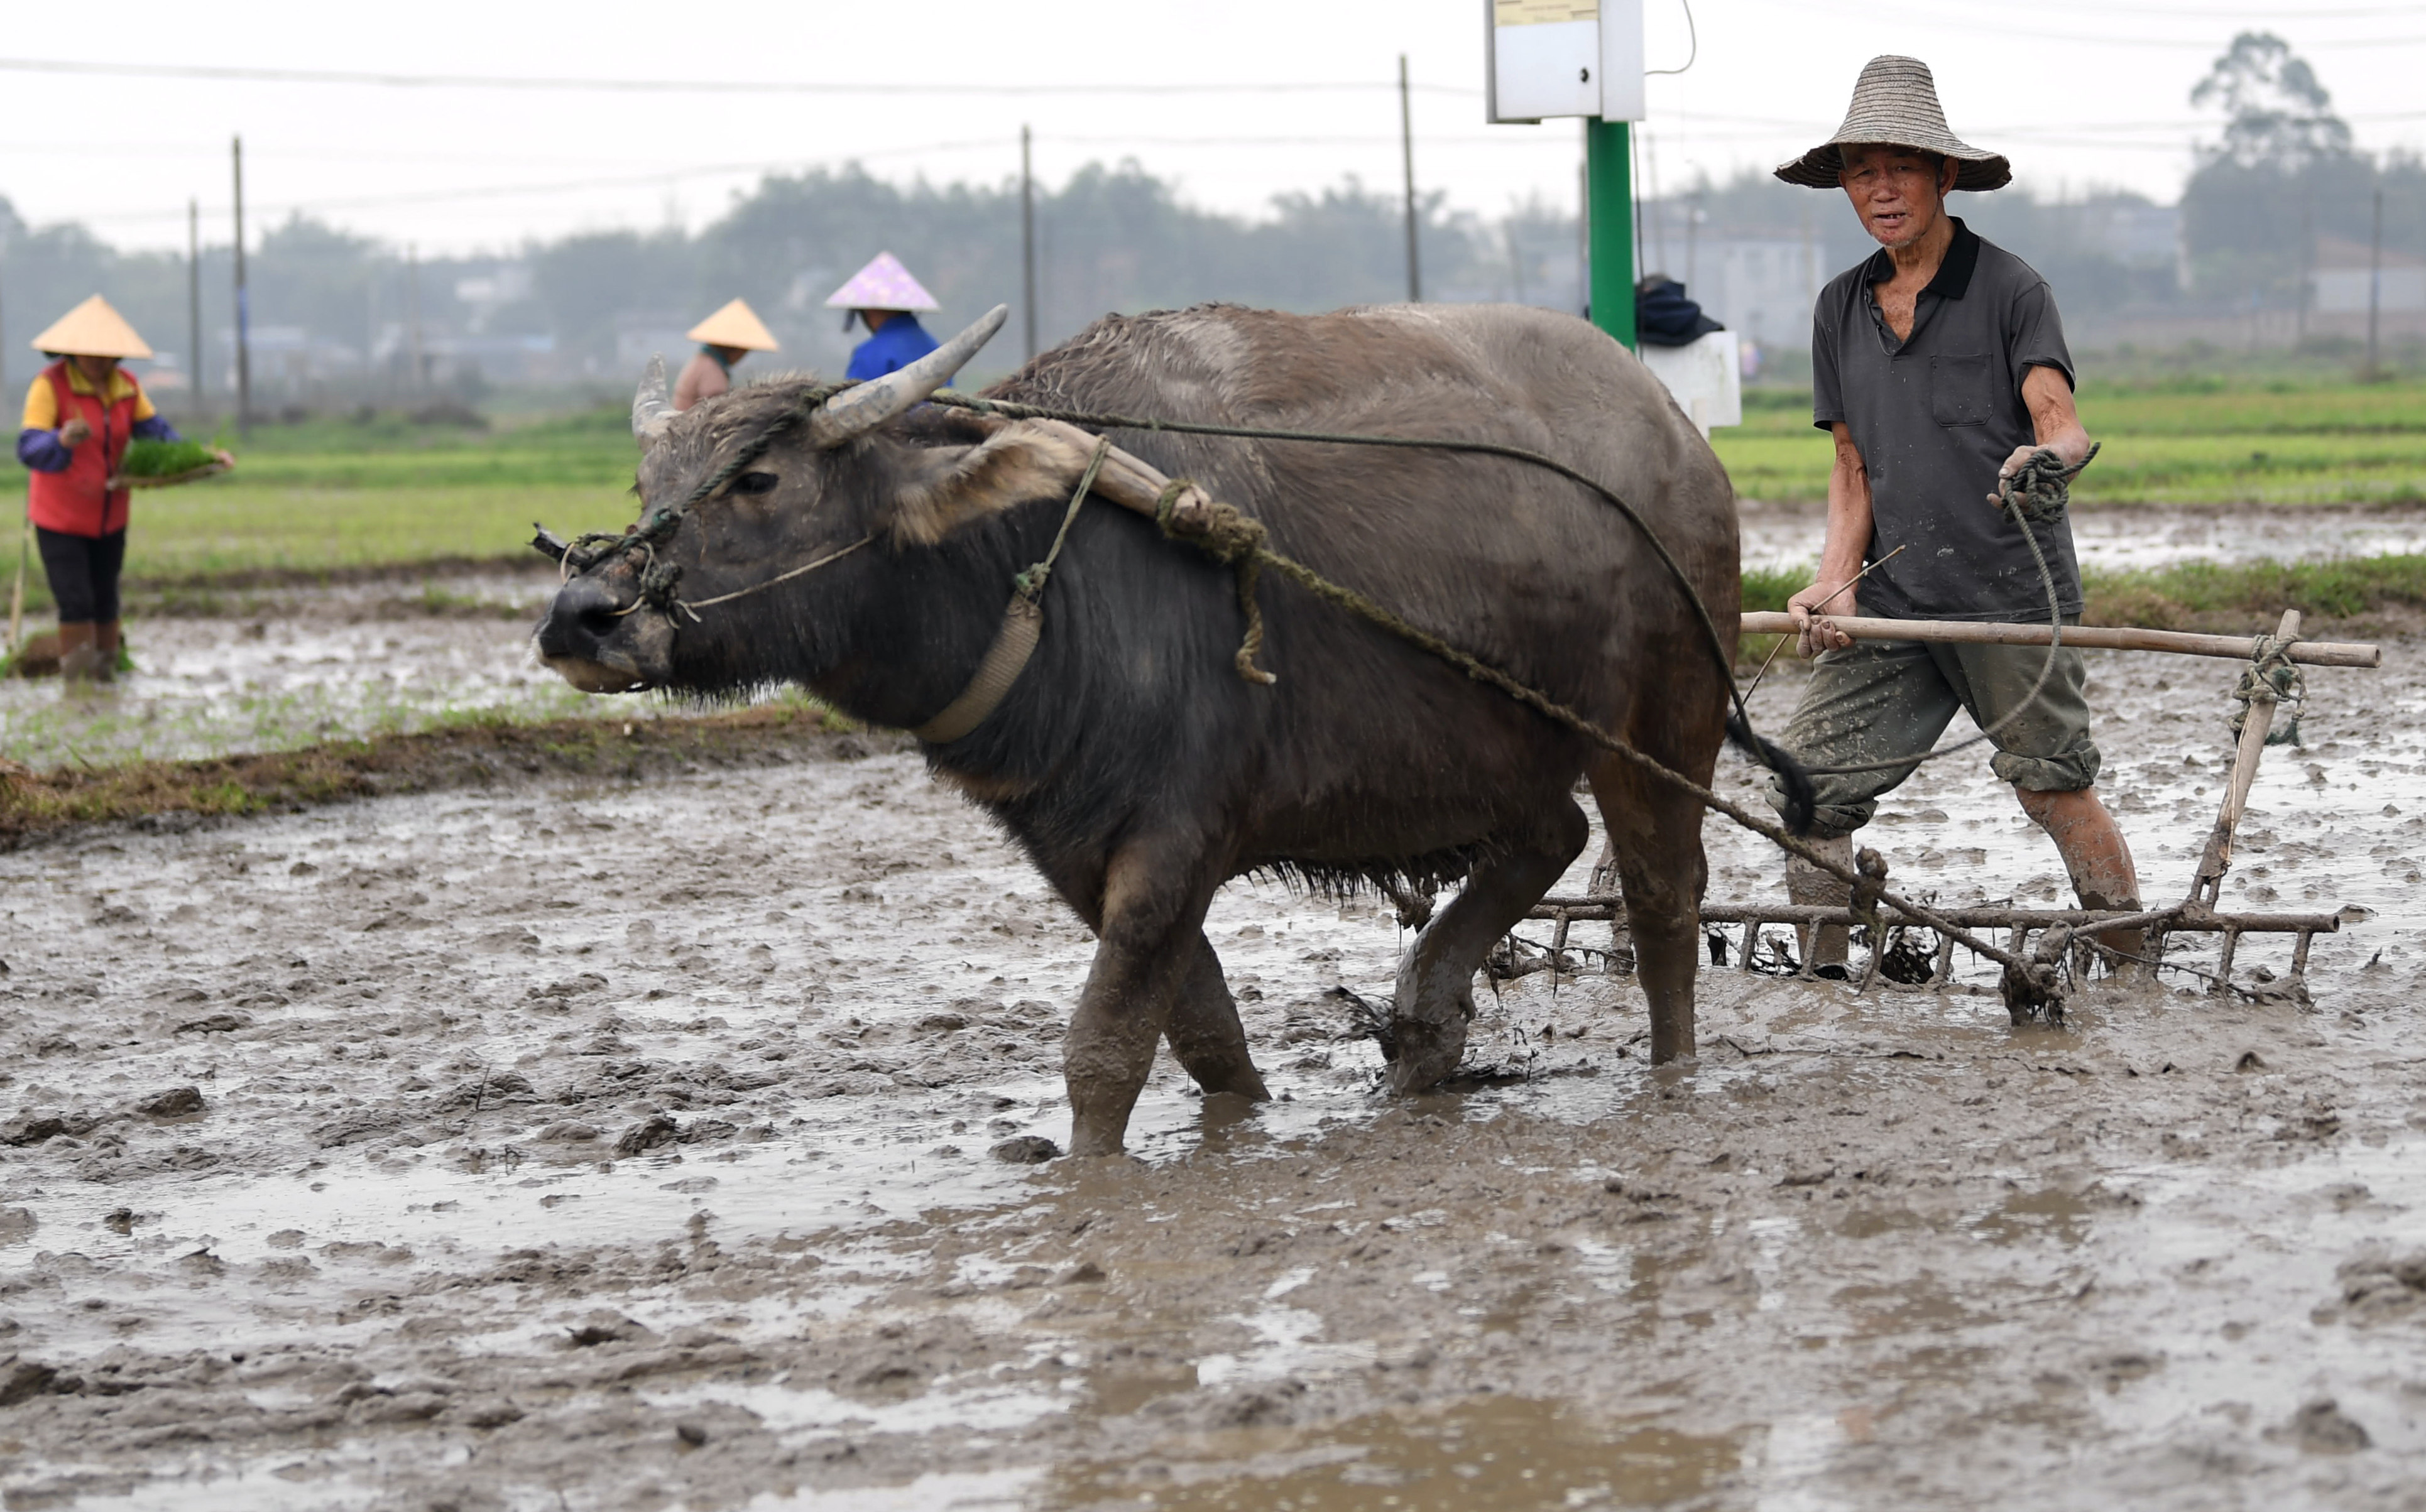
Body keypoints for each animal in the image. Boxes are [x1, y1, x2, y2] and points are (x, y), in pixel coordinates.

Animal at [541, 302, 1737, 1155]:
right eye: (648, 480)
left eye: (758, 477)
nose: (582, 615)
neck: (1037, 564)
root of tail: (1676, 436)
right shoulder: (1071, 847)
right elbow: (1202, 1031)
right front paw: (1246, 1120)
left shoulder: (1177, 838)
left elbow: (1104, 1050)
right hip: (1496, 752)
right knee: (1551, 840)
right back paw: (1425, 1029)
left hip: (1665, 717)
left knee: (1662, 902)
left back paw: (1673, 1074)